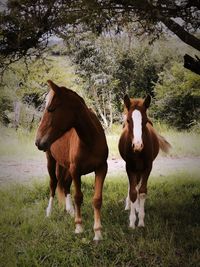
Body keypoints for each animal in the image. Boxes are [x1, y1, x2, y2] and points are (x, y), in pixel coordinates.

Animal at [35, 80, 108, 242]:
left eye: (51, 109)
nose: (37, 142)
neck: (89, 140)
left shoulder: (101, 168)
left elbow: (97, 200)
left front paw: (98, 233)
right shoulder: (76, 170)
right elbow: (78, 197)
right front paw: (79, 227)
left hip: (66, 167)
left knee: (65, 184)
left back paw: (70, 211)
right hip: (51, 162)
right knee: (53, 184)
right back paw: (49, 212)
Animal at [119, 96, 170, 230]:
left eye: (145, 121)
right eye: (128, 120)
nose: (137, 145)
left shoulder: (147, 168)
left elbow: (141, 192)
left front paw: (141, 221)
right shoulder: (129, 167)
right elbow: (132, 192)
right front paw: (132, 222)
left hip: (140, 169)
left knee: (138, 185)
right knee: (133, 185)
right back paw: (129, 206)